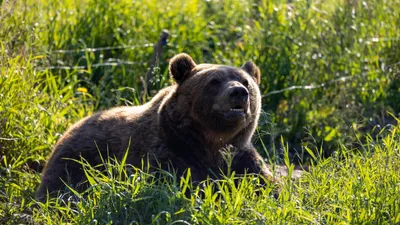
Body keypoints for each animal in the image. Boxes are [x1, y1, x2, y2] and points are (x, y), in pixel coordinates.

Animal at [36, 53, 276, 201]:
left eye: (246, 82)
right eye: (214, 81)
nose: (238, 92)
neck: (210, 142)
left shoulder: (241, 157)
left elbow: (266, 186)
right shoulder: (169, 151)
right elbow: (176, 183)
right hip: (77, 159)